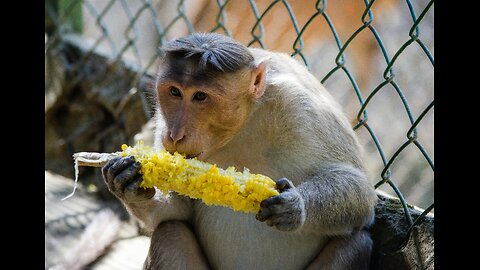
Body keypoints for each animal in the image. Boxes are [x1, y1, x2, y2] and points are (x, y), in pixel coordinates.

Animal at [102, 32, 378, 270]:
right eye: (174, 91)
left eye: (200, 97)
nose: (175, 135)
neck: (244, 124)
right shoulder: (162, 121)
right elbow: (178, 211)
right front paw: (131, 185)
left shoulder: (302, 108)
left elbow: (360, 191)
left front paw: (294, 205)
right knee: (171, 233)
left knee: (356, 244)